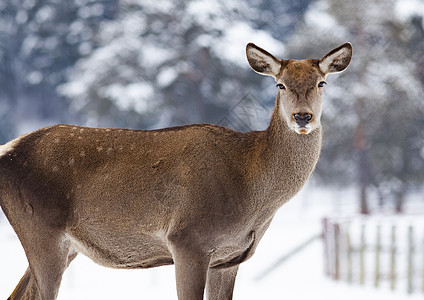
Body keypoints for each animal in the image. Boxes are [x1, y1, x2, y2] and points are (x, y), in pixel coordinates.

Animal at [0, 42, 352, 300]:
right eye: (280, 85)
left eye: (321, 82)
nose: (302, 117)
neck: (251, 192)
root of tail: (7, 151)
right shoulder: (187, 239)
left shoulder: (229, 258)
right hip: (40, 230)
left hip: (64, 245)